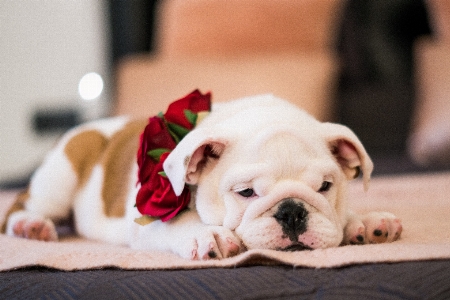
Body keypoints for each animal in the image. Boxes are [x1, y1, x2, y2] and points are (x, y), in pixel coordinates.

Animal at [1, 94, 402, 260]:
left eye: (325, 187)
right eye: (245, 193)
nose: (292, 211)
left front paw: (364, 222)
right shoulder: (147, 222)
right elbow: (180, 224)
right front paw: (208, 234)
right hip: (59, 177)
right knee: (19, 206)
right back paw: (30, 226)